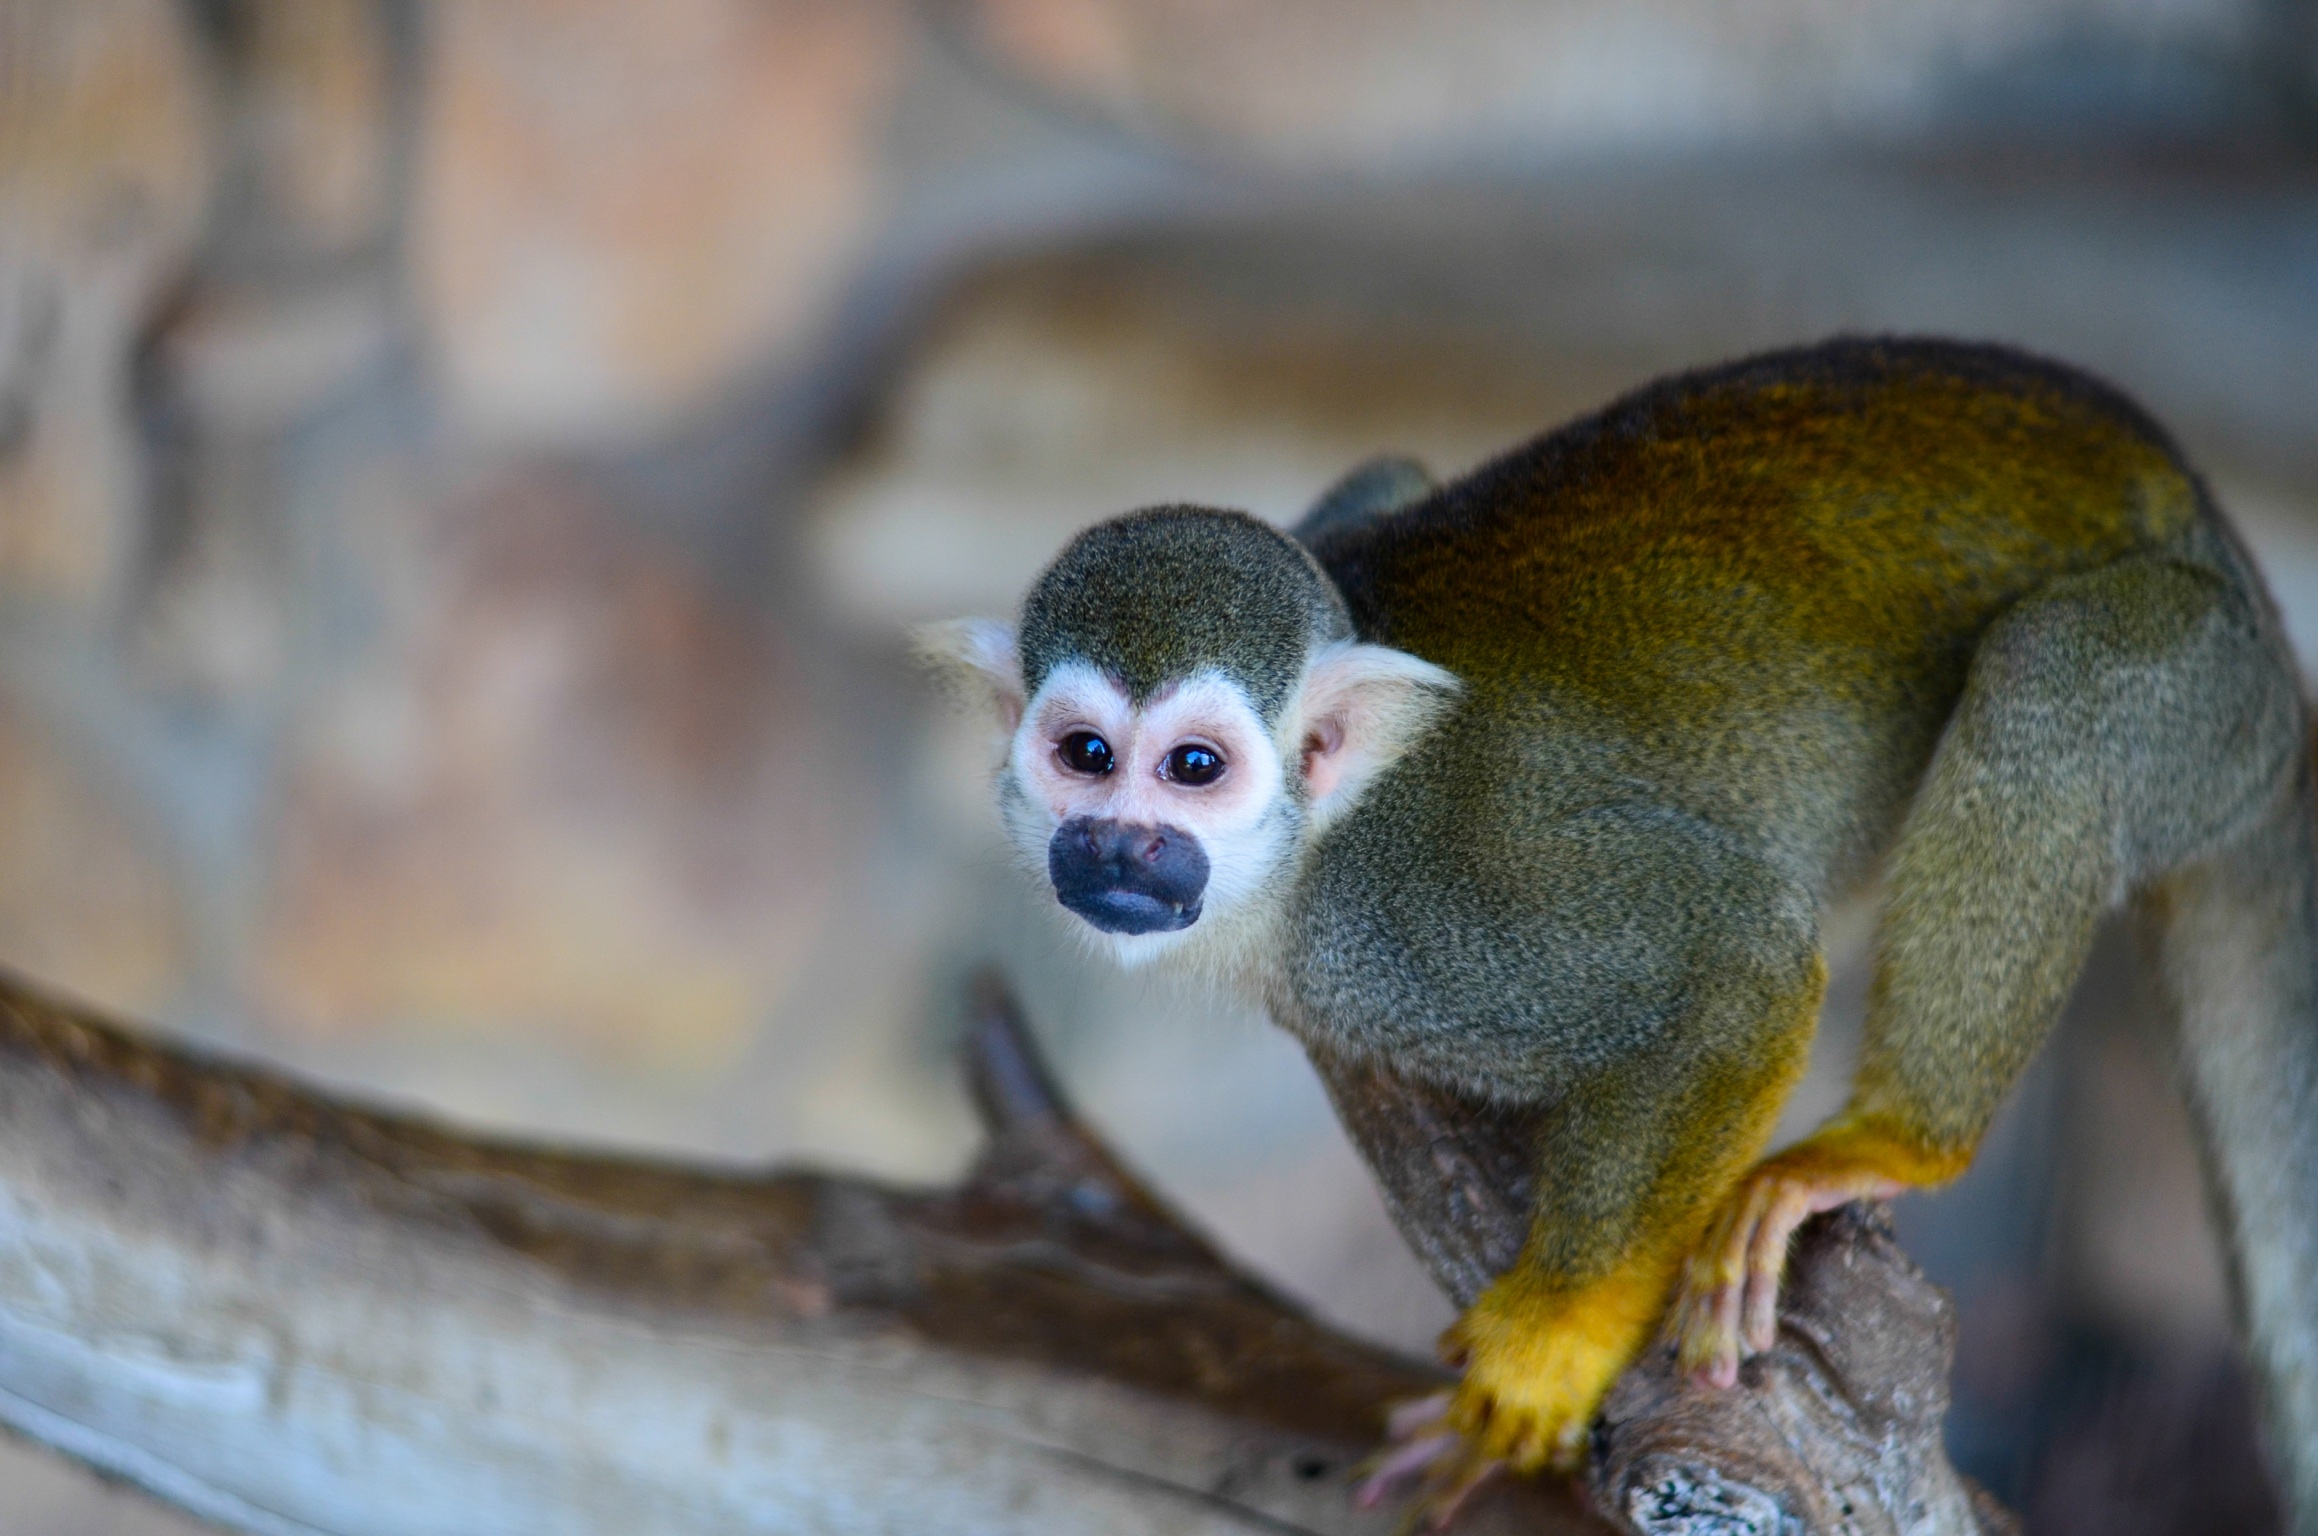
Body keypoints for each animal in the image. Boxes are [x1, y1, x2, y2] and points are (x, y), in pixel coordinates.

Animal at [917, 335, 2318, 1529]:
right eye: (1084, 757)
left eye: (1193, 768)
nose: (1114, 850)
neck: (1308, 851)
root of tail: (2200, 509)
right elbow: (1383, 481)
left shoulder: (1424, 915)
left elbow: (1739, 956)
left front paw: (1552, 1343)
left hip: (2199, 683)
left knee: (2048, 673)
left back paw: (1896, 1141)